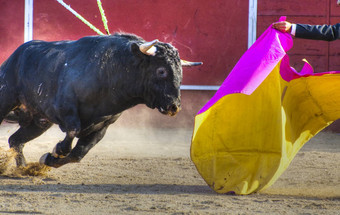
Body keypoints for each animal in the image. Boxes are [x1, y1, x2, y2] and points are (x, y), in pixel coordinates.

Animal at [0, 33, 201, 168]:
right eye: (161, 71)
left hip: (39, 122)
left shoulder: (102, 127)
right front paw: (56, 151)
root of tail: (13, 58)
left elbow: (78, 154)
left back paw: (24, 167)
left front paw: (48, 159)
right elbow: (72, 133)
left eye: (180, 73)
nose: (174, 106)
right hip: (6, 100)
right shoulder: (64, 109)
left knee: (15, 140)